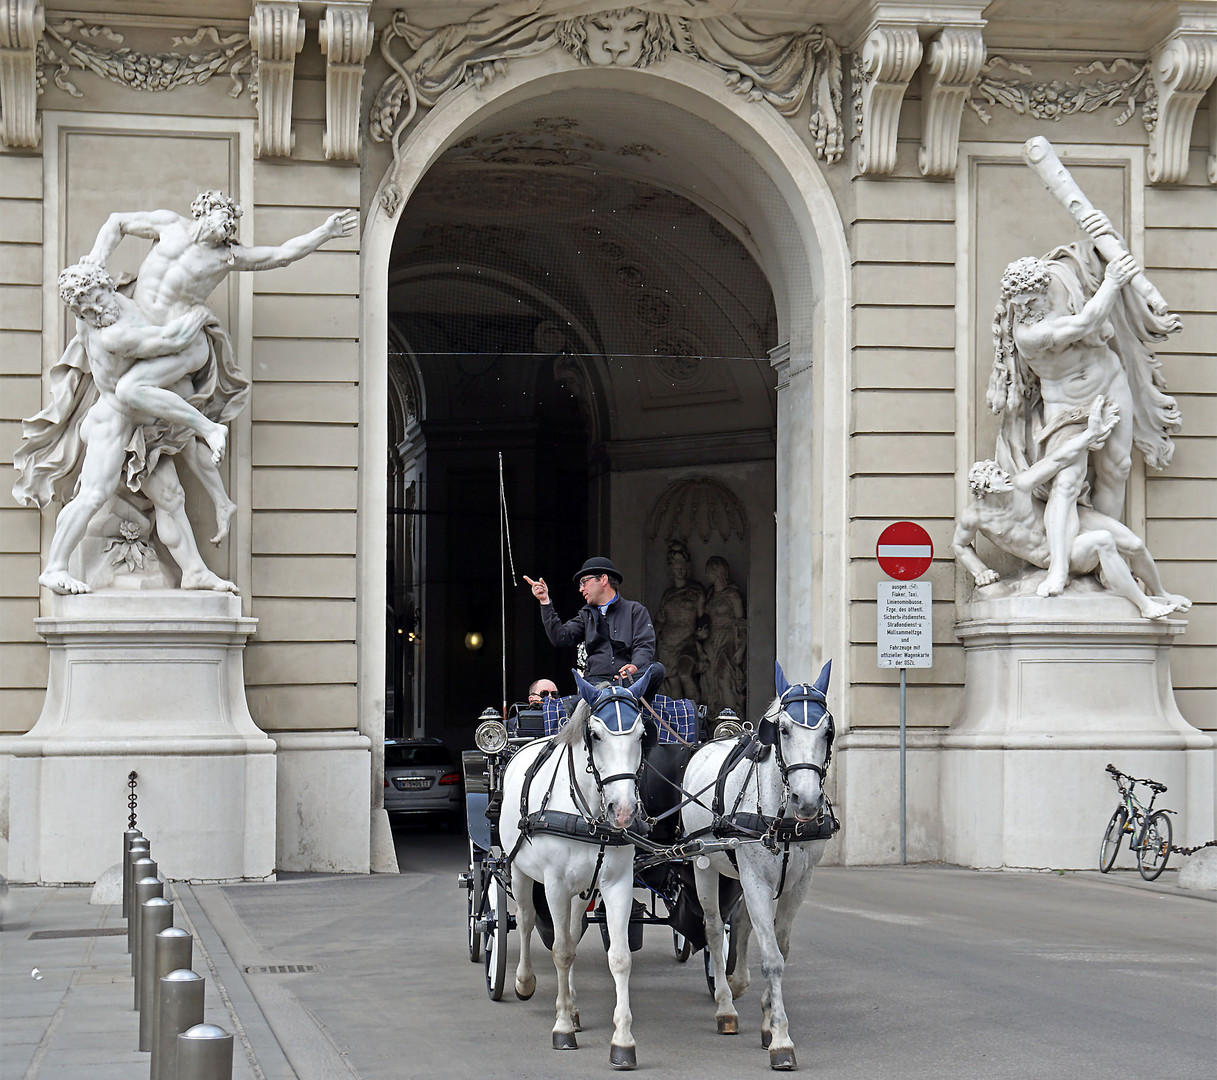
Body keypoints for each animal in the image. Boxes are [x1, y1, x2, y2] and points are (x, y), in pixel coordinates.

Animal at [498, 662, 662, 1066]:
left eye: (642, 735)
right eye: (596, 735)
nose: (623, 811)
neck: (589, 814)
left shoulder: (616, 883)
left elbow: (618, 957)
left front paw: (622, 1040)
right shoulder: (555, 884)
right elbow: (560, 950)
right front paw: (561, 1029)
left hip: (580, 891)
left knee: (571, 931)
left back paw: (571, 1005)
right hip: (522, 872)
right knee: (527, 920)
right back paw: (525, 982)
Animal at [681, 657, 842, 1071]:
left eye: (827, 730)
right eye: (783, 729)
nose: (806, 800)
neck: (780, 815)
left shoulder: (799, 883)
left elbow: (779, 947)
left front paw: (770, 1020)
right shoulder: (754, 878)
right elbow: (771, 957)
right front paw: (782, 1039)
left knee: (737, 921)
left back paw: (737, 983)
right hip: (704, 863)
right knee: (711, 928)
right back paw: (725, 1005)